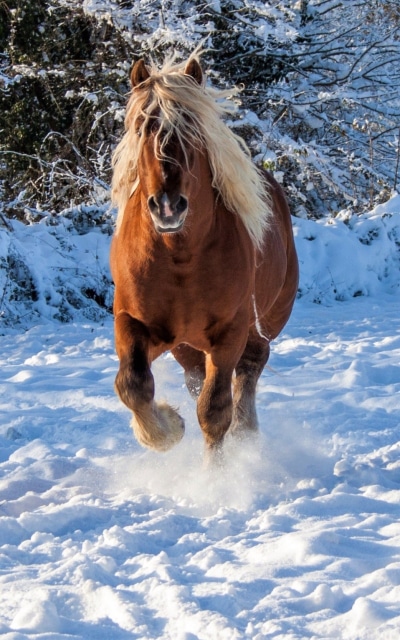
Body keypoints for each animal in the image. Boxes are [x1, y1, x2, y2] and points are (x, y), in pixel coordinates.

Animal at [110, 55, 299, 464]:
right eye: (140, 127)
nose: (168, 205)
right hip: (186, 345)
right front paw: (166, 429)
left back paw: (246, 435)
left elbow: (214, 411)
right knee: (197, 379)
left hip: (261, 325)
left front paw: (217, 475)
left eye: (192, 128)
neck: (180, 258)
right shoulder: (132, 322)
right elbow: (133, 385)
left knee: (249, 370)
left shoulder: (229, 333)